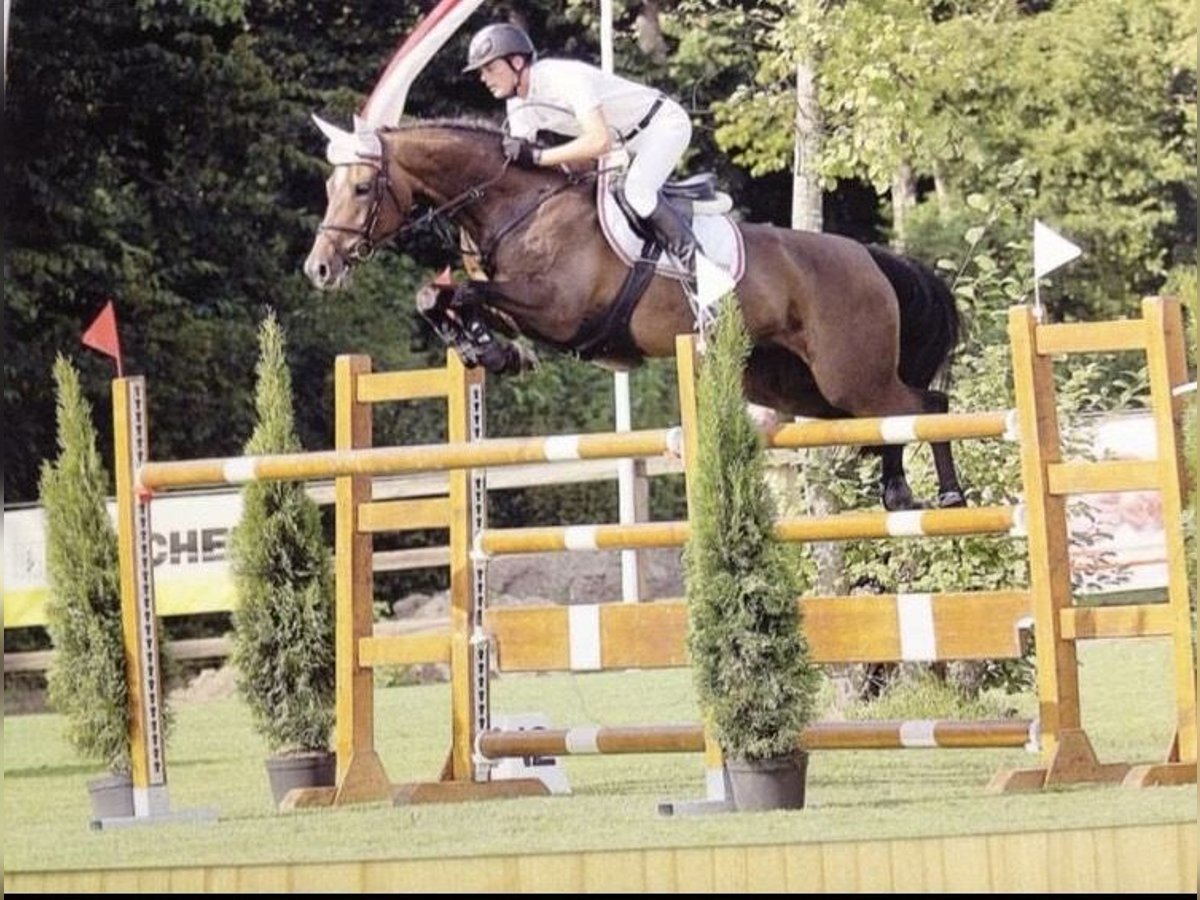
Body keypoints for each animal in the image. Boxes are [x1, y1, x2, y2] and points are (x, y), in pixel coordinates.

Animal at [304, 117, 966, 511]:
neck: (517, 205)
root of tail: (869, 256)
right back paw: (898, 495)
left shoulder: (558, 309)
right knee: (889, 420)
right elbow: (439, 296)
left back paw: (945, 495)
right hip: (800, 387)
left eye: (360, 189)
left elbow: (465, 294)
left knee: (924, 406)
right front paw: (487, 350)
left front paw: (489, 348)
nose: (320, 269)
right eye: (329, 188)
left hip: (848, 372)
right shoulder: (523, 305)